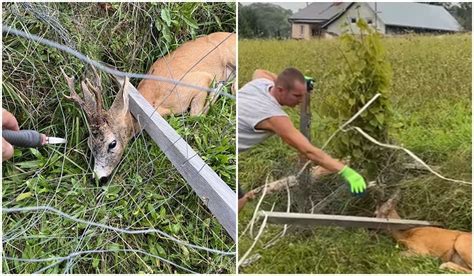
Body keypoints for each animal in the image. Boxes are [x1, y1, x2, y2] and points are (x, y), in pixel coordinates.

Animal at [62, 32, 236, 181]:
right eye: (90, 144)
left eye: (112, 144)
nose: (98, 177)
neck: (152, 102)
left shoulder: (201, 80)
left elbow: (196, 116)